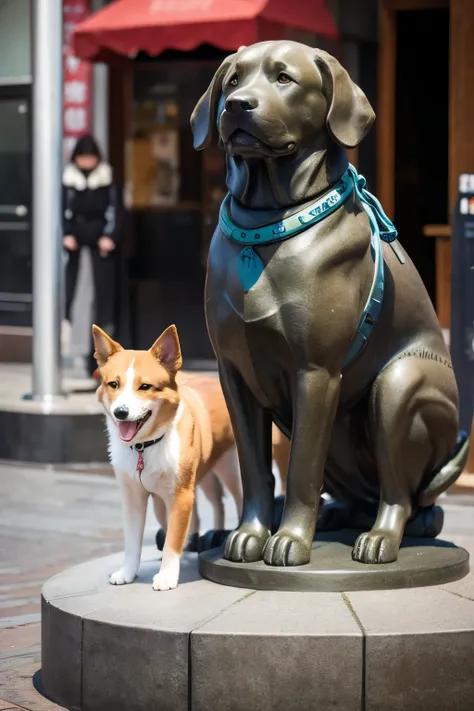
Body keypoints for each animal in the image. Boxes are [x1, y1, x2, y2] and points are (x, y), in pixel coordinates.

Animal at [91, 326, 243, 592]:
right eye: (113, 384)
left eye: (145, 386)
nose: (121, 412)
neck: (144, 446)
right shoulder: (133, 496)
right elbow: (133, 541)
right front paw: (128, 572)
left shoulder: (181, 495)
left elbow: (173, 540)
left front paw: (167, 576)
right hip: (198, 478)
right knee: (215, 504)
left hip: (230, 470)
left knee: (239, 499)